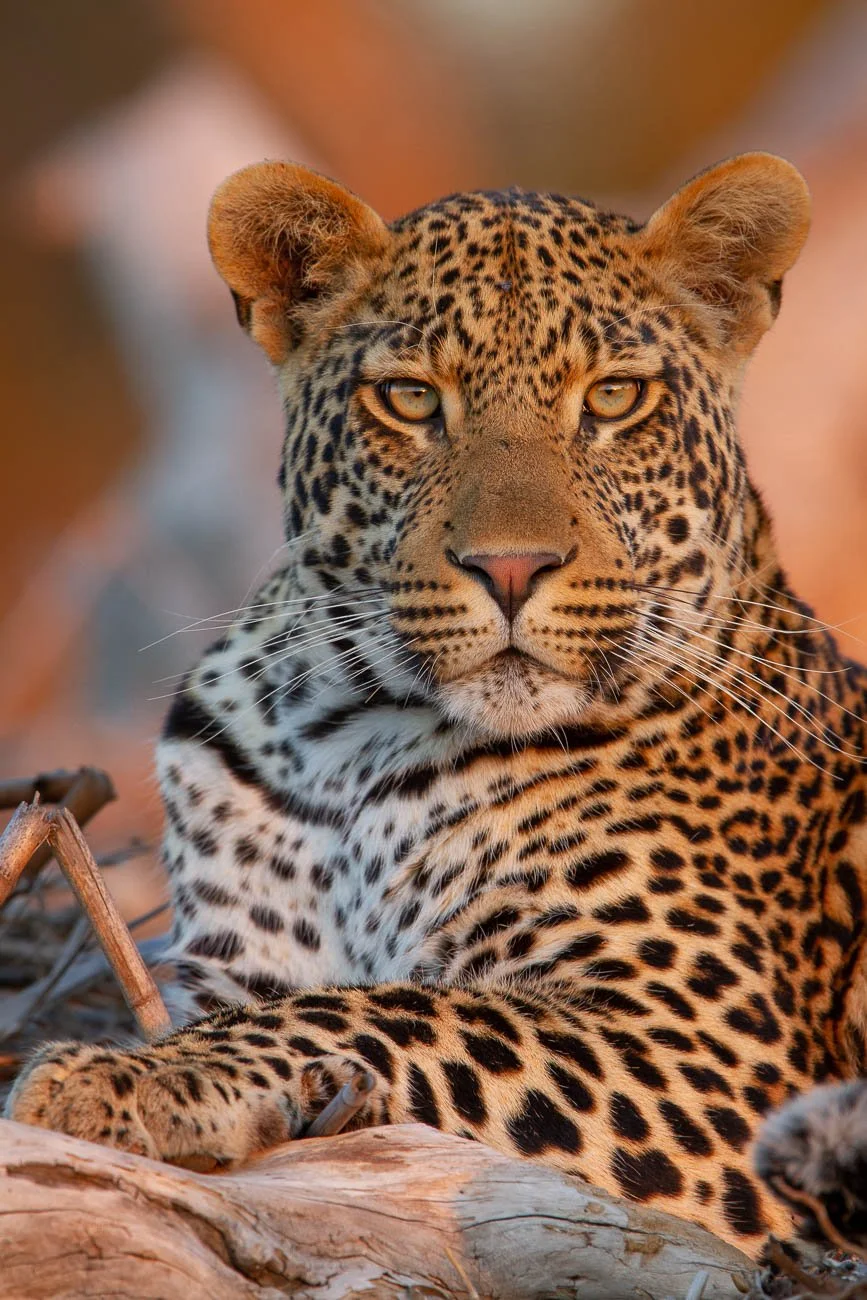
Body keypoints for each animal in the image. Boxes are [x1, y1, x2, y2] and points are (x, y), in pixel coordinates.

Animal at [8, 152, 867, 1258]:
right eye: (413, 399)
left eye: (615, 397)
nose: (511, 567)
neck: (350, 738)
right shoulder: (231, 963)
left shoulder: (711, 1052)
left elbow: (402, 1005)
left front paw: (132, 1075)